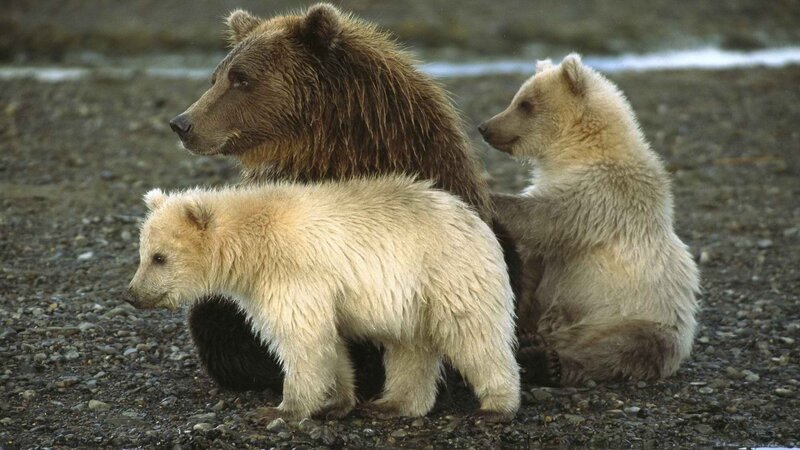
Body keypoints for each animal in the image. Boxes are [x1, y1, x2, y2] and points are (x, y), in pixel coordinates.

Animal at [127, 177, 520, 421]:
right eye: (142, 253)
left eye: (159, 257)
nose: (132, 294)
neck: (252, 249)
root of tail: (475, 219)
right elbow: (329, 344)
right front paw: (335, 401)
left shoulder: (292, 274)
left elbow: (302, 337)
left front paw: (280, 409)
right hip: (410, 300)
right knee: (411, 348)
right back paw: (393, 404)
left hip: (447, 274)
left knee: (474, 336)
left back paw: (495, 407)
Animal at [478, 54, 700, 386]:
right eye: (517, 98)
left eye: (526, 104)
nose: (485, 127)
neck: (577, 150)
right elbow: (531, 262)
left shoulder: (602, 194)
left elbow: (544, 218)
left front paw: (492, 196)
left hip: (639, 314)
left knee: (624, 346)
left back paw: (543, 361)